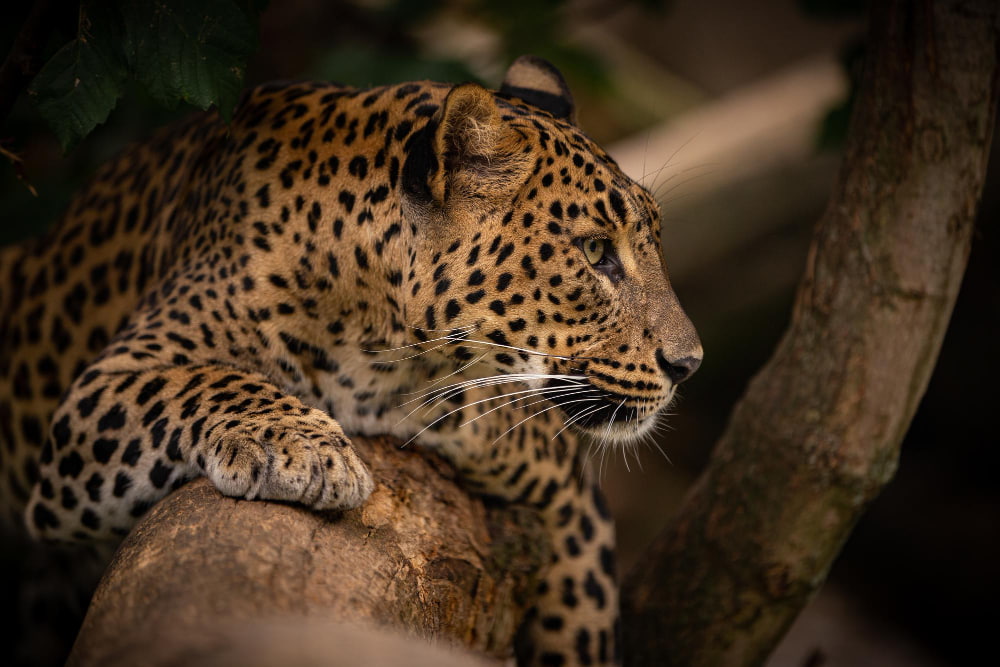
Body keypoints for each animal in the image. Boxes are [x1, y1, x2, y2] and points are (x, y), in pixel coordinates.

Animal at [0, 58, 704, 667]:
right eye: (595, 252)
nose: (689, 364)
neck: (371, 326)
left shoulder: (568, 495)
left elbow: (581, 620)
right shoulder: (105, 387)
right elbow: (205, 378)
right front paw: (304, 451)